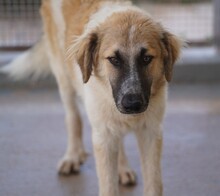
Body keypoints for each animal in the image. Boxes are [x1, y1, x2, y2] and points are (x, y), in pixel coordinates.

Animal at [0, 0, 181, 195]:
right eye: (113, 59)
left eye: (147, 58)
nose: (133, 104)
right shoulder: (103, 133)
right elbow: (108, 186)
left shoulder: (151, 132)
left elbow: (154, 183)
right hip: (63, 78)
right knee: (73, 117)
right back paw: (72, 156)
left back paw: (122, 168)